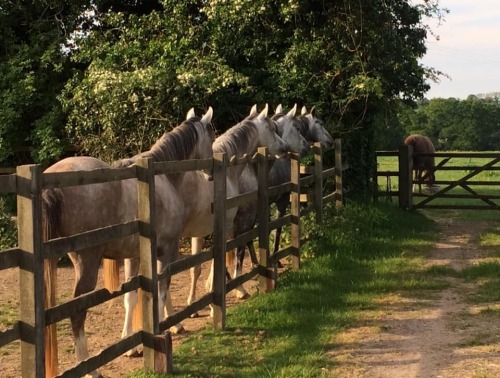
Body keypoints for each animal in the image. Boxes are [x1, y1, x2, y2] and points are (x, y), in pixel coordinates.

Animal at [43, 107, 215, 378]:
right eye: (212, 134)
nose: (210, 173)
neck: (164, 179)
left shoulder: (134, 256)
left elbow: (131, 297)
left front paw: (131, 345)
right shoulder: (167, 251)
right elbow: (161, 291)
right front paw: (161, 331)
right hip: (87, 264)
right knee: (77, 313)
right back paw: (91, 369)